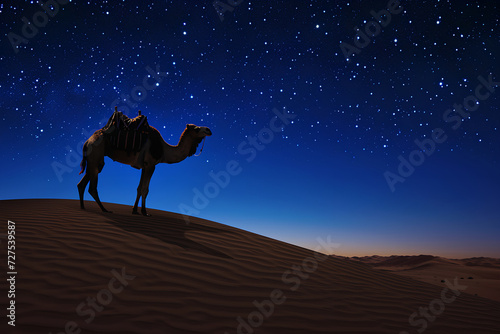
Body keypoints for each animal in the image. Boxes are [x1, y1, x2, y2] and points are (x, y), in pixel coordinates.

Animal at [77, 121, 212, 215]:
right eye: (196, 128)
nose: (209, 129)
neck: (164, 150)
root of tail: (87, 142)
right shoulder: (151, 165)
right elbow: (145, 190)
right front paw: (144, 212)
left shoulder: (144, 166)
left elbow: (139, 188)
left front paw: (135, 210)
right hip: (96, 154)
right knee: (92, 187)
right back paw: (105, 209)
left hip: (92, 160)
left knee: (81, 183)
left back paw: (83, 207)